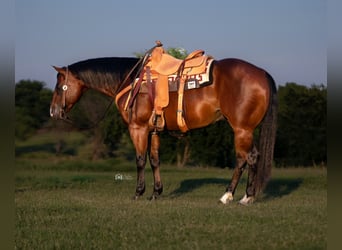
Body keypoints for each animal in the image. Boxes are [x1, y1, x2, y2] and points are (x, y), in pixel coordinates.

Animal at [48, 49, 278, 204]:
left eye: (59, 87)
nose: (53, 112)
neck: (130, 80)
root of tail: (262, 73)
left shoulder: (138, 128)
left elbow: (140, 160)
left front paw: (138, 192)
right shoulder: (153, 131)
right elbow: (154, 160)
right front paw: (155, 193)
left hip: (241, 129)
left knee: (246, 158)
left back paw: (236, 196)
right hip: (244, 130)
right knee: (247, 158)